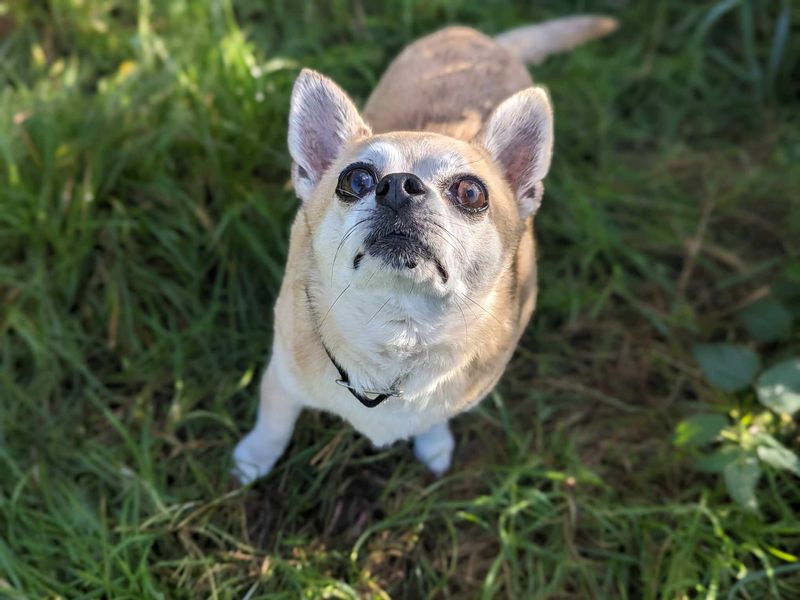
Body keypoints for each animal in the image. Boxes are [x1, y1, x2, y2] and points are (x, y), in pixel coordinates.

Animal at [233, 15, 620, 482]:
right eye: (357, 180)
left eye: (471, 192)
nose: (399, 185)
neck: (399, 329)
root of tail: (477, 36)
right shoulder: (282, 380)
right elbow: (274, 422)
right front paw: (255, 459)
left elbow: (436, 417)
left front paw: (434, 444)